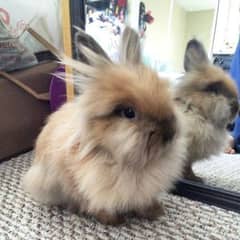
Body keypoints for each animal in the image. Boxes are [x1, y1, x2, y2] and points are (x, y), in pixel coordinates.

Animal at [175, 39, 239, 182]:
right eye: (213, 90)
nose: (236, 107)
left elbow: (188, 167)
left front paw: (196, 178)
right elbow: (185, 166)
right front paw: (193, 179)